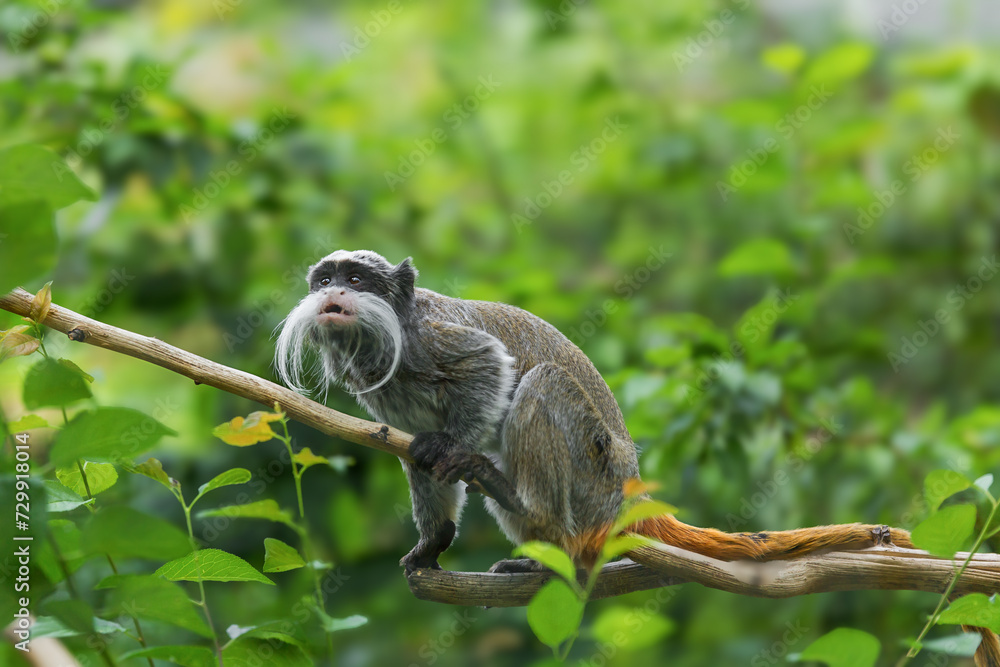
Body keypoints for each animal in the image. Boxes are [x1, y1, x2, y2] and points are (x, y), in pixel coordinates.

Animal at [275, 250, 998, 665]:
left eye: (357, 279)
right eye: (326, 279)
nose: (334, 295)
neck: (381, 341)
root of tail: (627, 488)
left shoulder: (433, 338)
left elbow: (490, 369)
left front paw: (455, 453)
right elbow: (413, 456)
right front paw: (435, 542)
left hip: (590, 469)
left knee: (539, 387)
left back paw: (539, 521)